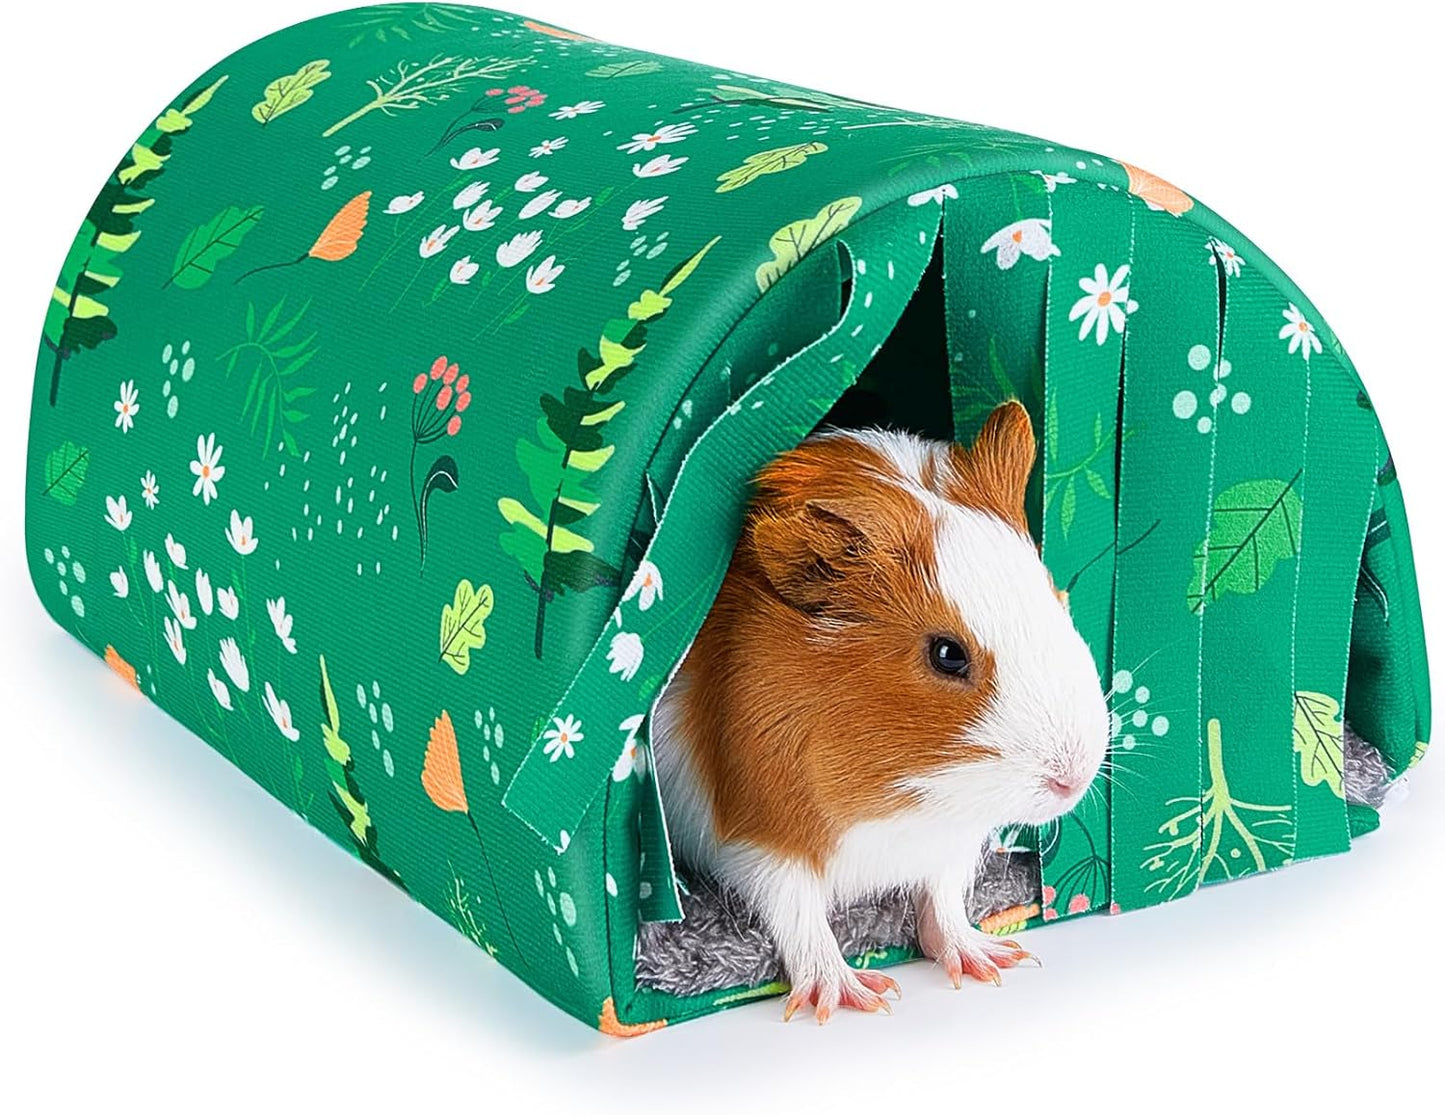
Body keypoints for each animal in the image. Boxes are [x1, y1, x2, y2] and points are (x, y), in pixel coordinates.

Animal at [650, 400, 1110, 1023]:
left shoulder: (950, 844)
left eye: (1056, 598)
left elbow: (944, 903)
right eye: (947, 654)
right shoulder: (763, 841)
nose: (1073, 778)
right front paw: (853, 997)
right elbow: (801, 918)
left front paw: (992, 960)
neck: (904, 801)